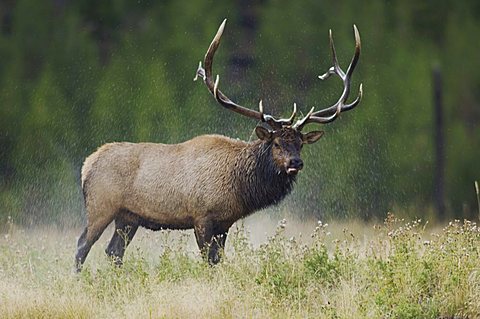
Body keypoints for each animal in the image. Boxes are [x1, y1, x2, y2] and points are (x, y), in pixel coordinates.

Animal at [74, 18, 360, 272]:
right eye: (277, 143)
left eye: (300, 144)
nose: (296, 163)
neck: (239, 186)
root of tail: (86, 165)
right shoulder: (201, 217)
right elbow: (207, 261)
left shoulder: (225, 223)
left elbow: (217, 260)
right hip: (101, 206)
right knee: (82, 245)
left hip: (128, 217)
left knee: (114, 251)